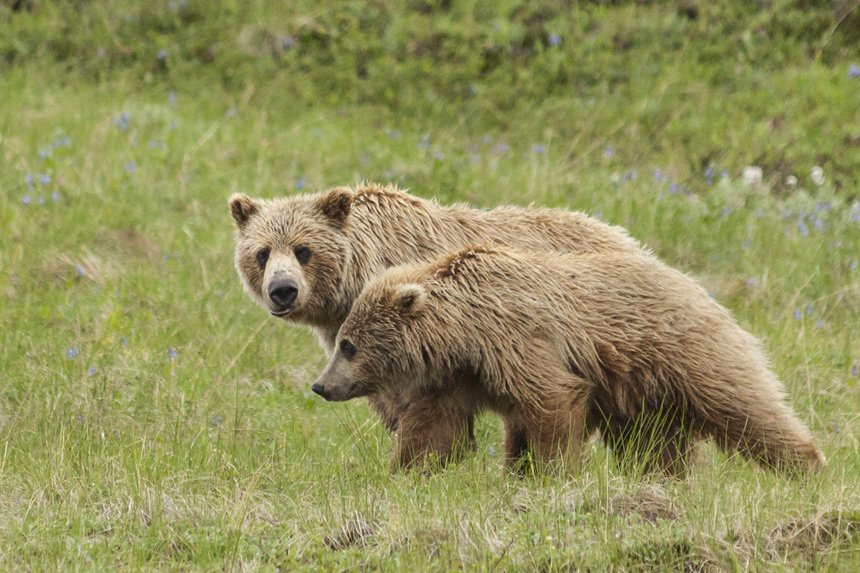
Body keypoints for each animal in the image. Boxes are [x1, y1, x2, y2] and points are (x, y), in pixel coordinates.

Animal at [312, 246, 824, 474]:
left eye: (347, 345)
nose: (321, 385)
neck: (462, 334)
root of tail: (700, 288)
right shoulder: (457, 377)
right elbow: (433, 428)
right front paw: (406, 470)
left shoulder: (519, 341)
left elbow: (552, 403)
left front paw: (550, 473)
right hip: (642, 396)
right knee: (653, 445)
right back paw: (661, 478)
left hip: (686, 354)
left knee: (747, 407)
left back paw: (807, 467)